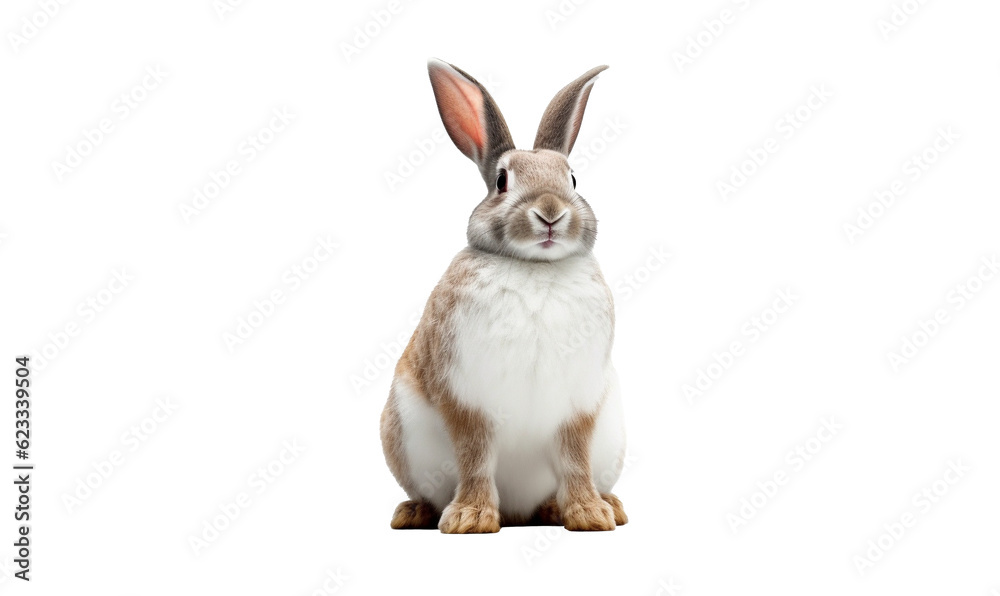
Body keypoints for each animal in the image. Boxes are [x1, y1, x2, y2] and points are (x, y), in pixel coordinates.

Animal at [380, 59, 627, 533]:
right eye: (501, 181)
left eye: (572, 179)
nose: (550, 212)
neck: (536, 268)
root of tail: (518, 512)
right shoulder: (467, 399)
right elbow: (475, 457)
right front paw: (470, 519)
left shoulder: (579, 407)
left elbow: (575, 458)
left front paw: (590, 515)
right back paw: (414, 513)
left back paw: (584, 507)